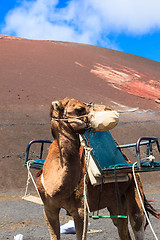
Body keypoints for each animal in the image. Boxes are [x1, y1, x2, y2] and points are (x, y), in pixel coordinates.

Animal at [35, 98, 159, 240]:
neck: (56, 186)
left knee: (136, 221)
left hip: (135, 187)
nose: (109, 109)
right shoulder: (48, 209)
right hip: (116, 202)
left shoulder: (80, 211)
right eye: (79, 109)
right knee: (121, 226)